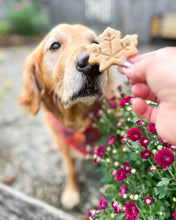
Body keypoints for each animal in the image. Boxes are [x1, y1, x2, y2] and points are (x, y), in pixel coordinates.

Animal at [18, 24, 117, 210]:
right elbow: (71, 170)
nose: (91, 64)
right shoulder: (64, 145)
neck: (78, 121)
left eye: (96, 43)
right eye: (55, 45)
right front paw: (71, 192)